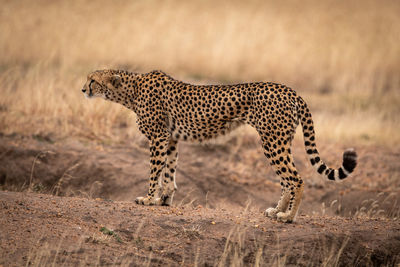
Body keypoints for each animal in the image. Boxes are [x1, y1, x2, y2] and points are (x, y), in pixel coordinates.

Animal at [81, 69, 356, 224]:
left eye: (93, 80)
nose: (83, 89)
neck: (131, 90)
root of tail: (289, 90)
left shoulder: (158, 137)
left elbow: (154, 172)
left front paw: (148, 199)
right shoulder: (171, 139)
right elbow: (169, 172)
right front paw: (163, 200)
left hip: (272, 141)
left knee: (295, 179)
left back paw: (288, 217)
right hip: (280, 141)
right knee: (286, 179)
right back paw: (277, 210)